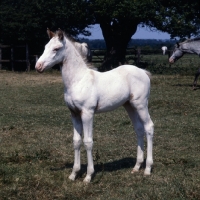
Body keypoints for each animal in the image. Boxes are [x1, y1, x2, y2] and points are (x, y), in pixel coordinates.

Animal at [35, 28, 155, 184]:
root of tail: (143, 72)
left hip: (141, 104)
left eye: (56, 48)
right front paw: (74, 174)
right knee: (139, 129)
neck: (78, 80)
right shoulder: (74, 113)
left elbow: (88, 141)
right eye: (45, 47)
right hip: (129, 106)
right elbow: (76, 141)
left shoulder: (87, 113)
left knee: (149, 127)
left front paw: (88, 176)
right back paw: (136, 167)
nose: (38, 66)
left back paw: (147, 169)